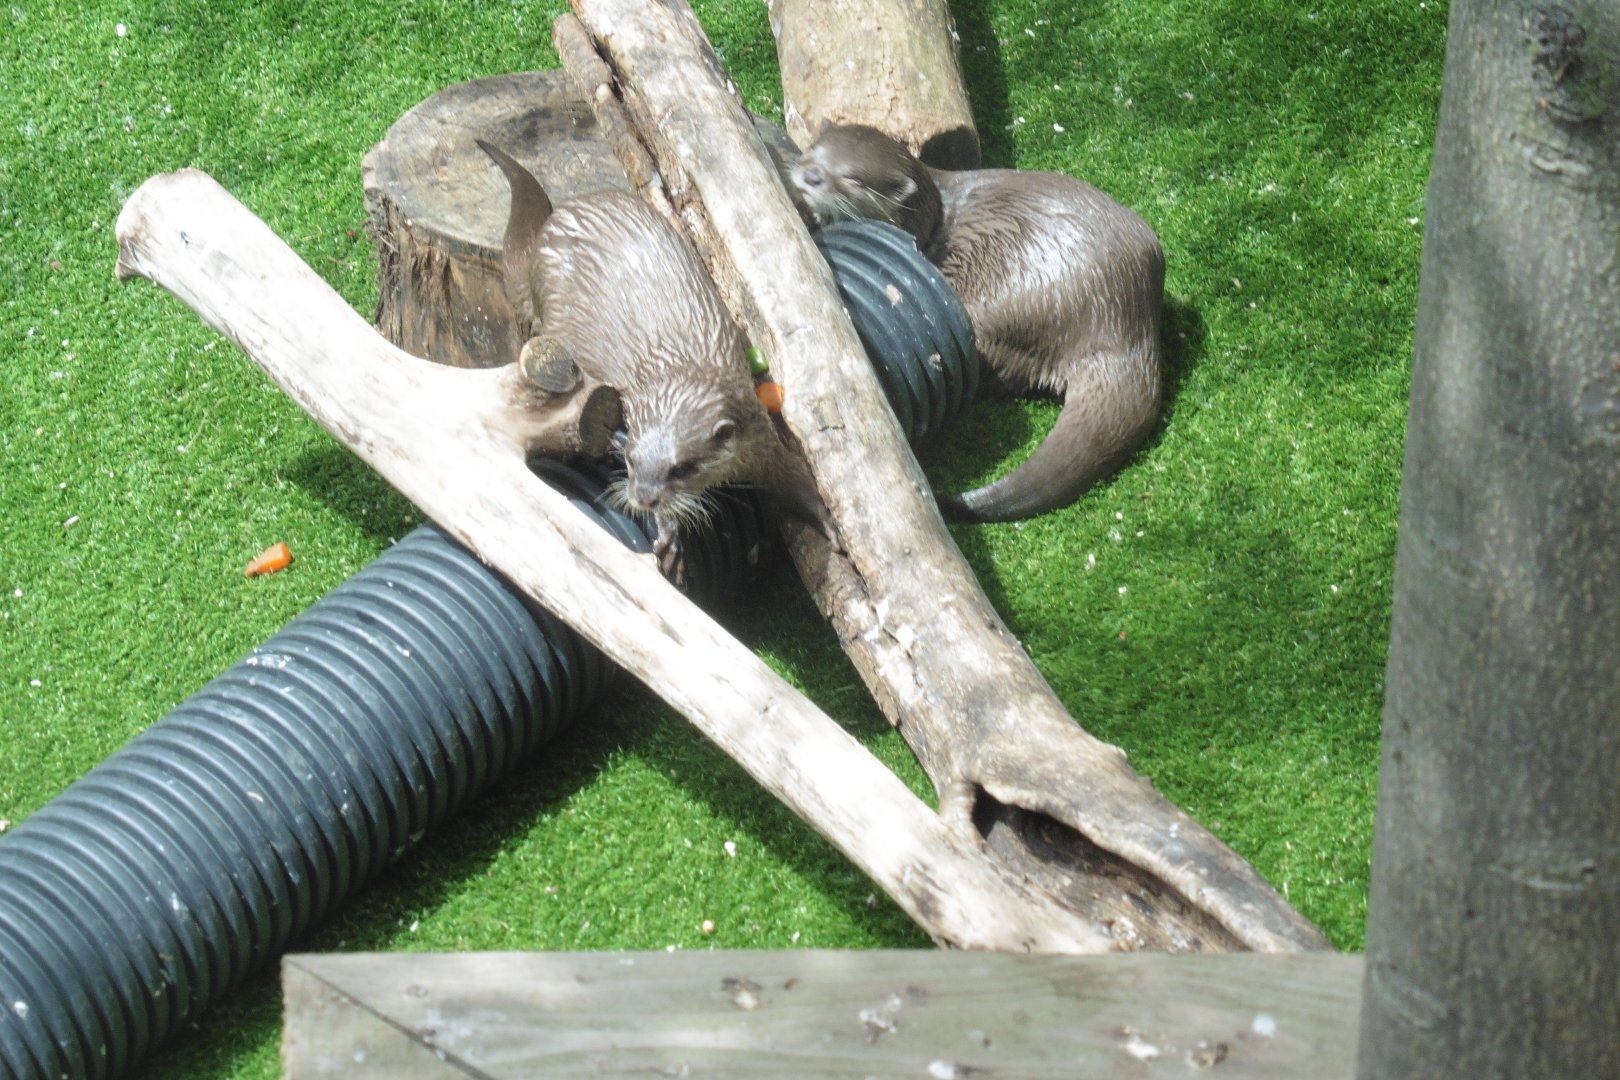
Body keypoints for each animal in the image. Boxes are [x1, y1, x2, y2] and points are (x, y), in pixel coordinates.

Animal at [478, 140, 819, 566]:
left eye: (681, 468)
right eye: (630, 461)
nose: (643, 498)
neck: (683, 370)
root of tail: (552, 225)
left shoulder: (758, 433)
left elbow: (789, 477)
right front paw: (669, 535)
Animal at [786, 124, 1164, 523]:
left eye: (853, 179)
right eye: (814, 151)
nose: (811, 175)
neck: (931, 216)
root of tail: (1121, 324)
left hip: (1007, 303)